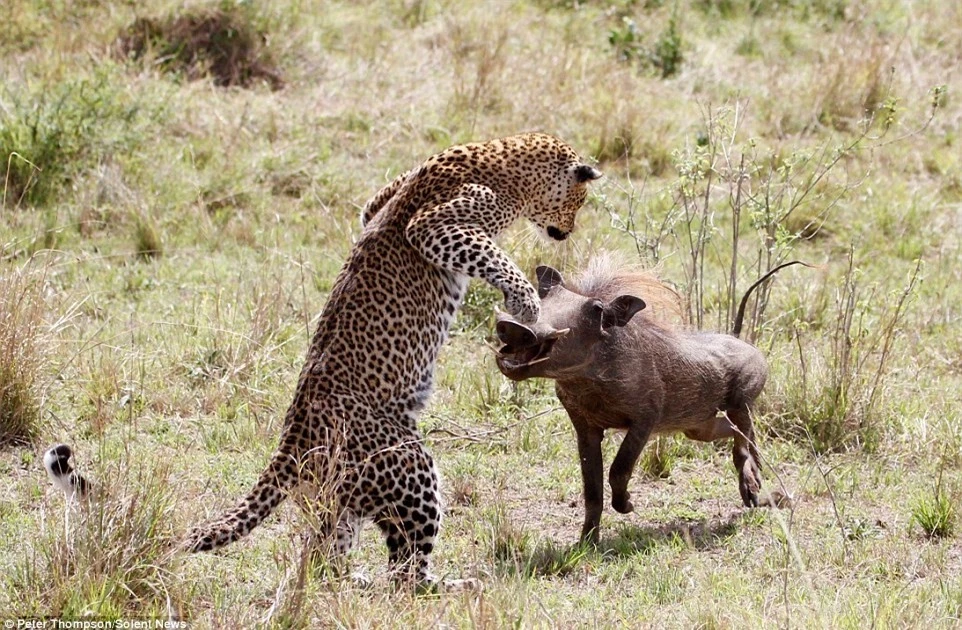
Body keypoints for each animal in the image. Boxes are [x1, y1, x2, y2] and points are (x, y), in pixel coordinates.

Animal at [181, 133, 600, 588]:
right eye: (579, 201)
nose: (567, 233)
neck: (503, 160)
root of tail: (292, 438)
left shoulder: (378, 201)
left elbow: (372, 210)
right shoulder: (435, 227)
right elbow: (496, 258)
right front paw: (525, 303)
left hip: (341, 497)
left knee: (325, 555)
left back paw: (350, 580)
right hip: (410, 465)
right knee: (405, 574)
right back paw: (455, 585)